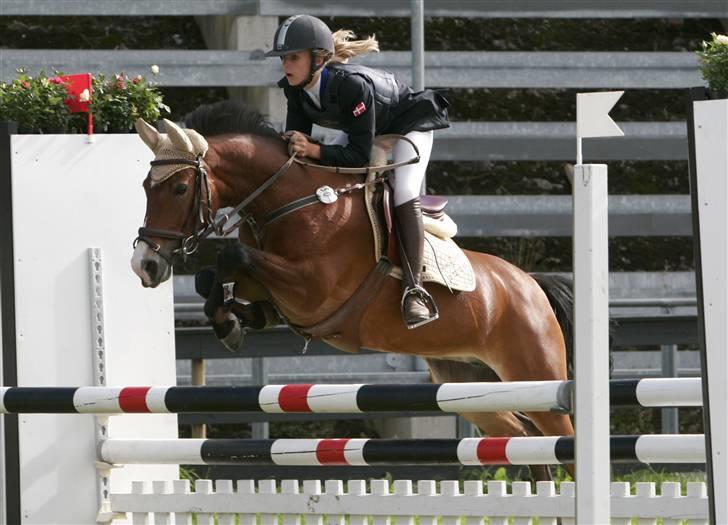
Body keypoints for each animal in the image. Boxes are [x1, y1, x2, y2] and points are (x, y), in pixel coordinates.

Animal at [129, 101, 576, 478]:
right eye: (145, 187)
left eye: (180, 189)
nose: (145, 265)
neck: (292, 202)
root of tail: (530, 285)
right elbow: (216, 275)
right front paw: (233, 321)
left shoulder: (312, 289)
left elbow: (232, 256)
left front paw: (232, 321)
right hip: (472, 386)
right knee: (526, 439)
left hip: (534, 371)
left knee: (562, 441)